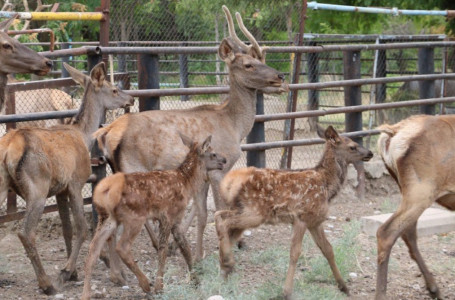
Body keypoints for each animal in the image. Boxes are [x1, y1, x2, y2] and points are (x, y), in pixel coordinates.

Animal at [0, 61, 134, 296]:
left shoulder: (60, 190)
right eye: (114, 90)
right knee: (26, 233)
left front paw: (73, 273)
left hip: (3, 183)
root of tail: (8, 149)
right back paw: (46, 283)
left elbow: (67, 229)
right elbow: (81, 228)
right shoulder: (75, 183)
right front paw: (66, 271)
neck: (84, 135)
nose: (132, 98)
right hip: (37, 188)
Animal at [81, 135, 227, 298]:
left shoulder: (176, 219)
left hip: (106, 217)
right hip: (134, 216)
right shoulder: (167, 215)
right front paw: (159, 286)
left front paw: (196, 280)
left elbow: (185, 247)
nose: (224, 160)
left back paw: (85, 294)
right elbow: (163, 250)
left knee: (92, 250)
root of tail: (104, 190)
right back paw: (145, 284)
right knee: (122, 247)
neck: (186, 183)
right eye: (213, 153)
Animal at [92, 4, 288, 270]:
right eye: (248, 64)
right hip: (134, 166)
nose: (281, 77)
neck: (234, 126)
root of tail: (107, 131)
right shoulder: (219, 169)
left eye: (261, 60)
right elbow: (220, 210)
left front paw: (198, 254)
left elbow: (202, 213)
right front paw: (224, 251)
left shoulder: (202, 175)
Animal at [216, 125, 374, 298]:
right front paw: (286, 292)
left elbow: (328, 249)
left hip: (243, 210)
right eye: (352, 146)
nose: (370, 153)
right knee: (221, 219)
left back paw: (225, 269)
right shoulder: (301, 217)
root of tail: (228, 182)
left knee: (225, 226)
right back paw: (227, 263)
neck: (327, 186)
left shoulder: (315, 221)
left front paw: (344, 287)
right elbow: (295, 253)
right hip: (255, 212)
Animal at [376, 113, 455, 298]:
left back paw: (433, 288)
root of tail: (393, 132)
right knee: (387, 232)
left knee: (408, 232)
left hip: (408, 190)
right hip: (421, 191)